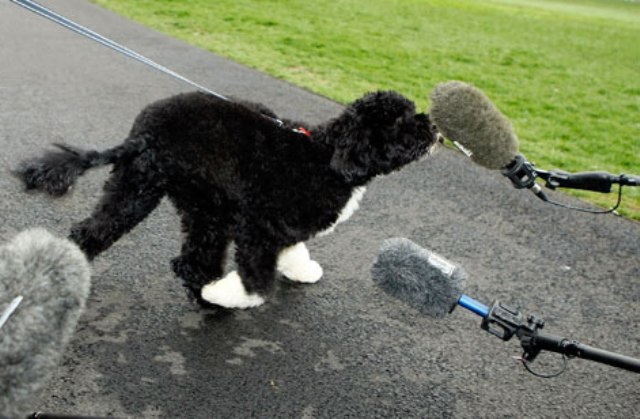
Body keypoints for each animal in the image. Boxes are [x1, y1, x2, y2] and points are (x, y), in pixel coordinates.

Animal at [18, 91, 440, 308]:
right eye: (400, 122)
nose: (434, 127)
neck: (326, 157)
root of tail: (142, 136)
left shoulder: (283, 226)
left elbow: (294, 249)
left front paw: (303, 270)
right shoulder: (259, 227)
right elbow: (258, 279)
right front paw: (235, 295)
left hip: (185, 199)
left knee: (182, 256)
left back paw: (203, 292)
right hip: (150, 192)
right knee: (101, 234)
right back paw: (211, 295)